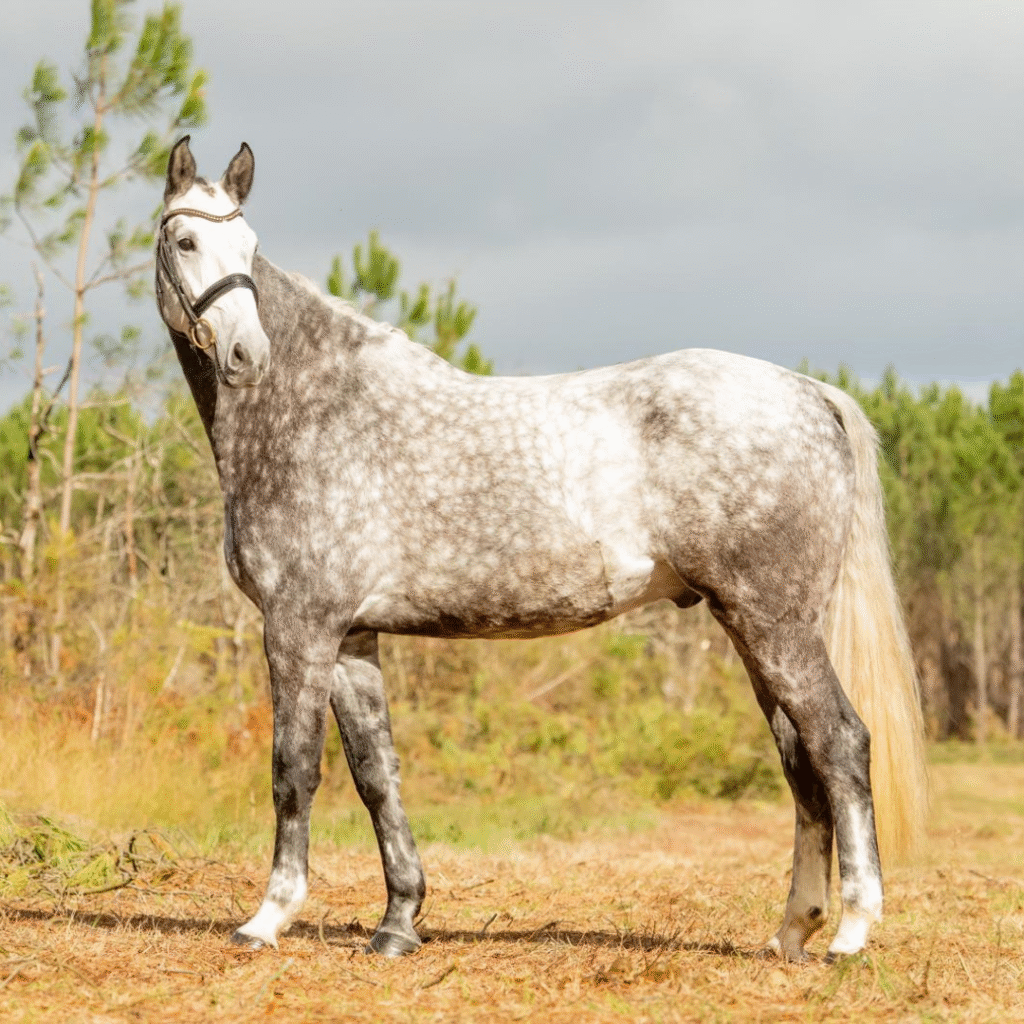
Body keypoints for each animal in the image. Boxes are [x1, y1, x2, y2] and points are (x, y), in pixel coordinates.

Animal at [155, 137, 928, 962]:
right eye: (185, 240)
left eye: (250, 246)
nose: (246, 354)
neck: (313, 410)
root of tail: (810, 392)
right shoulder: (351, 635)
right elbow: (376, 776)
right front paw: (398, 922)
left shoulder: (299, 626)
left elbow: (293, 770)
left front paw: (267, 917)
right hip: (754, 627)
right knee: (800, 758)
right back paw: (792, 930)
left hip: (774, 624)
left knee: (841, 743)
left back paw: (852, 929)